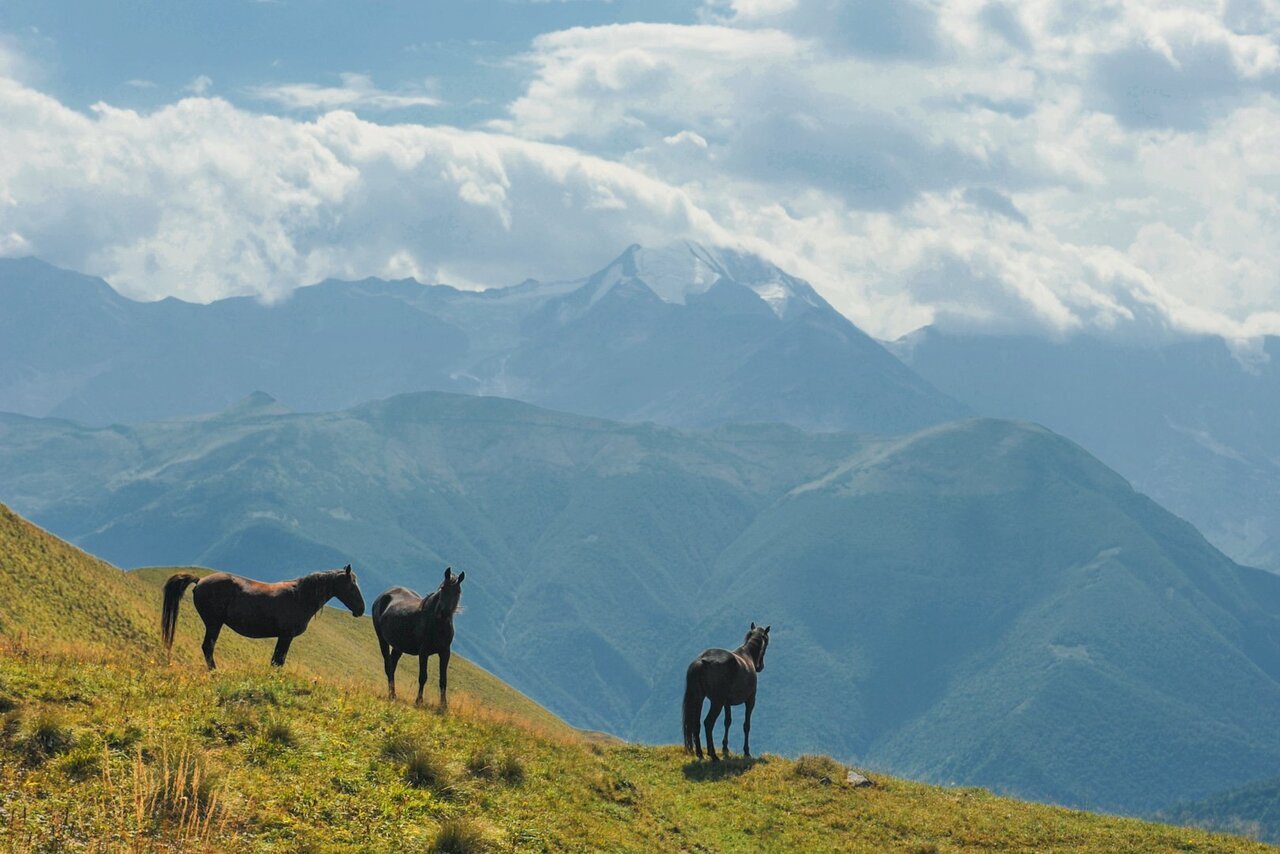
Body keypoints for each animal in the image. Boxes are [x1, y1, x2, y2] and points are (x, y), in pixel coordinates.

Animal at [161, 563, 366, 670]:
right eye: (351, 586)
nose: (361, 609)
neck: (300, 597)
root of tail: (200, 580)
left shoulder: (284, 637)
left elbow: (277, 660)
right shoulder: (286, 636)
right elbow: (278, 661)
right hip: (214, 623)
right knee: (207, 648)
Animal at [371, 568, 465, 706]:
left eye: (458, 591)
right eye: (443, 588)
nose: (444, 613)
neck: (436, 624)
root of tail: (383, 596)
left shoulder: (445, 652)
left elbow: (443, 680)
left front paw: (443, 705)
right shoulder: (423, 652)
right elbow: (423, 677)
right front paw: (419, 701)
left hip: (398, 647)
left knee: (392, 666)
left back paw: (392, 693)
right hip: (382, 640)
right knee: (388, 666)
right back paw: (392, 695)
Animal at [680, 622, 768, 763]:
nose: (761, 666)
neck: (747, 656)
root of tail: (701, 661)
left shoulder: (727, 703)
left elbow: (727, 721)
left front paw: (725, 748)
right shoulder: (750, 700)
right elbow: (746, 725)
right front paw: (746, 752)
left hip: (699, 698)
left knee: (696, 723)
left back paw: (700, 753)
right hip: (716, 702)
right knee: (708, 723)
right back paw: (713, 755)